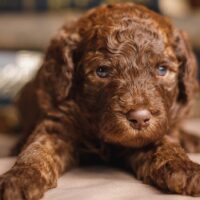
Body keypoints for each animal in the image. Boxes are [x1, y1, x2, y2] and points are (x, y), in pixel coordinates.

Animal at [0, 2, 200, 199]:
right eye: (102, 71)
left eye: (162, 69)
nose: (139, 118)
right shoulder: (58, 121)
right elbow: (38, 149)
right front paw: (19, 177)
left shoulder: (154, 133)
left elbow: (166, 146)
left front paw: (185, 168)